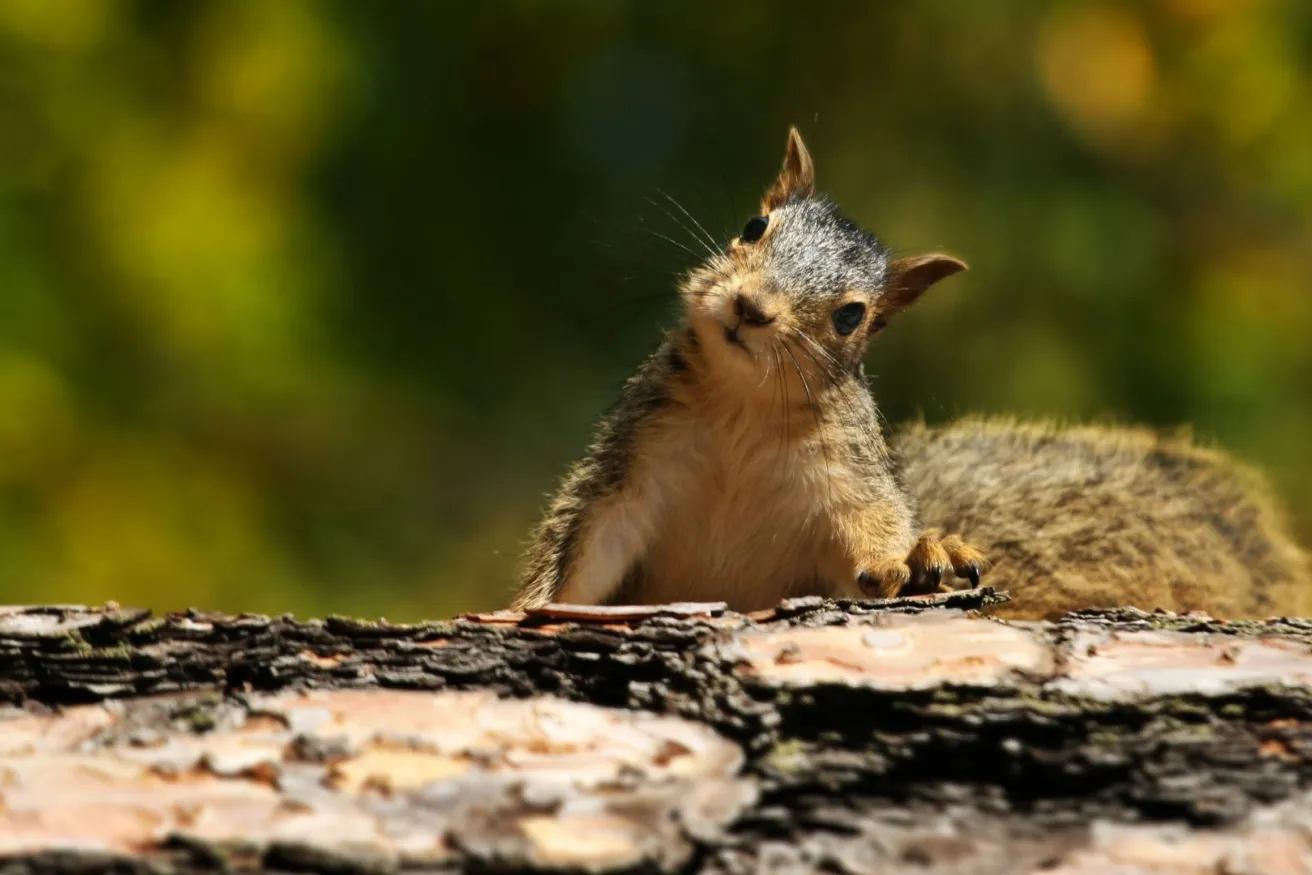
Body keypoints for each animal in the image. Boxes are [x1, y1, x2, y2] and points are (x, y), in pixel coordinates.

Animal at [511, 126, 1312, 619]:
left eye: (851, 316)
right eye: (752, 227)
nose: (751, 308)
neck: (743, 410)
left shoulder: (844, 491)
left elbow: (869, 546)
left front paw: (908, 561)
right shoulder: (637, 467)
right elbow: (583, 550)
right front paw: (527, 608)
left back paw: (936, 556)